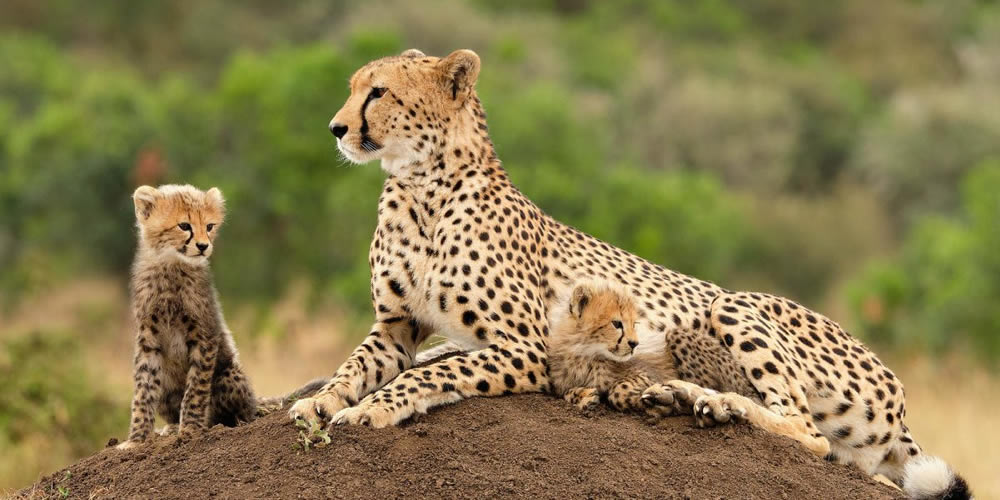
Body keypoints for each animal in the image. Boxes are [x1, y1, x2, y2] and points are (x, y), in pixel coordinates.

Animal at [119, 184, 322, 450]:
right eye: (184, 225)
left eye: (209, 226)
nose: (203, 246)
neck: (171, 265)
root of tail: (253, 399)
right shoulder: (148, 339)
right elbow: (143, 390)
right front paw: (136, 440)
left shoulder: (205, 333)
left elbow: (196, 388)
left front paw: (190, 429)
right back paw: (171, 427)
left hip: (229, 375)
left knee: (238, 414)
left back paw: (217, 424)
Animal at [286, 48, 969, 499]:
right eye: (354, 88)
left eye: (378, 92)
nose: (336, 128)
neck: (420, 186)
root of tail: (900, 397)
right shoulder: (395, 327)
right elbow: (354, 366)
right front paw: (319, 402)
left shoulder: (524, 348)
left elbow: (433, 372)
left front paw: (373, 411)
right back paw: (683, 396)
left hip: (734, 304)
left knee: (807, 431)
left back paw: (712, 400)